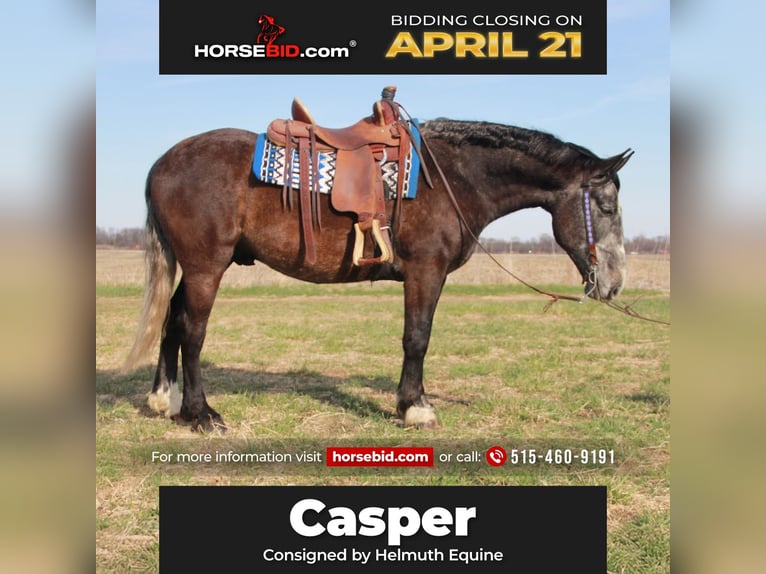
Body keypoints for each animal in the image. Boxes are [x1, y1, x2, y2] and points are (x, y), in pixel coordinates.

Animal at [123, 112, 633, 432]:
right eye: (607, 206)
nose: (613, 284)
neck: (452, 177)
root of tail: (161, 164)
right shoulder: (426, 271)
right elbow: (417, 337)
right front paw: (415, 409)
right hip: (207, 267)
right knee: (192, 331)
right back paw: (200, 414)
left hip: (198, 267)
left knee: (171, 322)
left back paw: (163, 400)